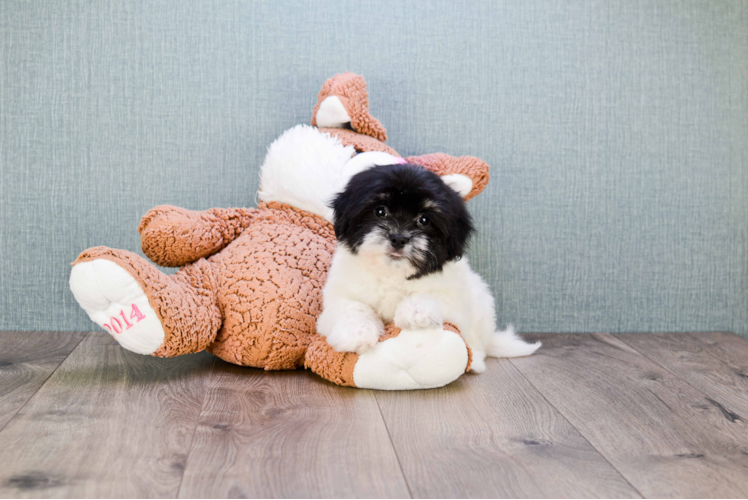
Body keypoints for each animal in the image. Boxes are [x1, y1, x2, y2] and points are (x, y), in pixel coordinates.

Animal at [318, 164, 540, 372]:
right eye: (380, 211)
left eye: (423, 220)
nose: (399, 238)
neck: (394, 273)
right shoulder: (339, 295)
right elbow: (351, 307)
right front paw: (356, 334)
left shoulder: (455, 299)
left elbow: (433, 297)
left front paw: (415, 313)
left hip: (481, 307)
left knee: (476, 342)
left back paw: (475, 360)